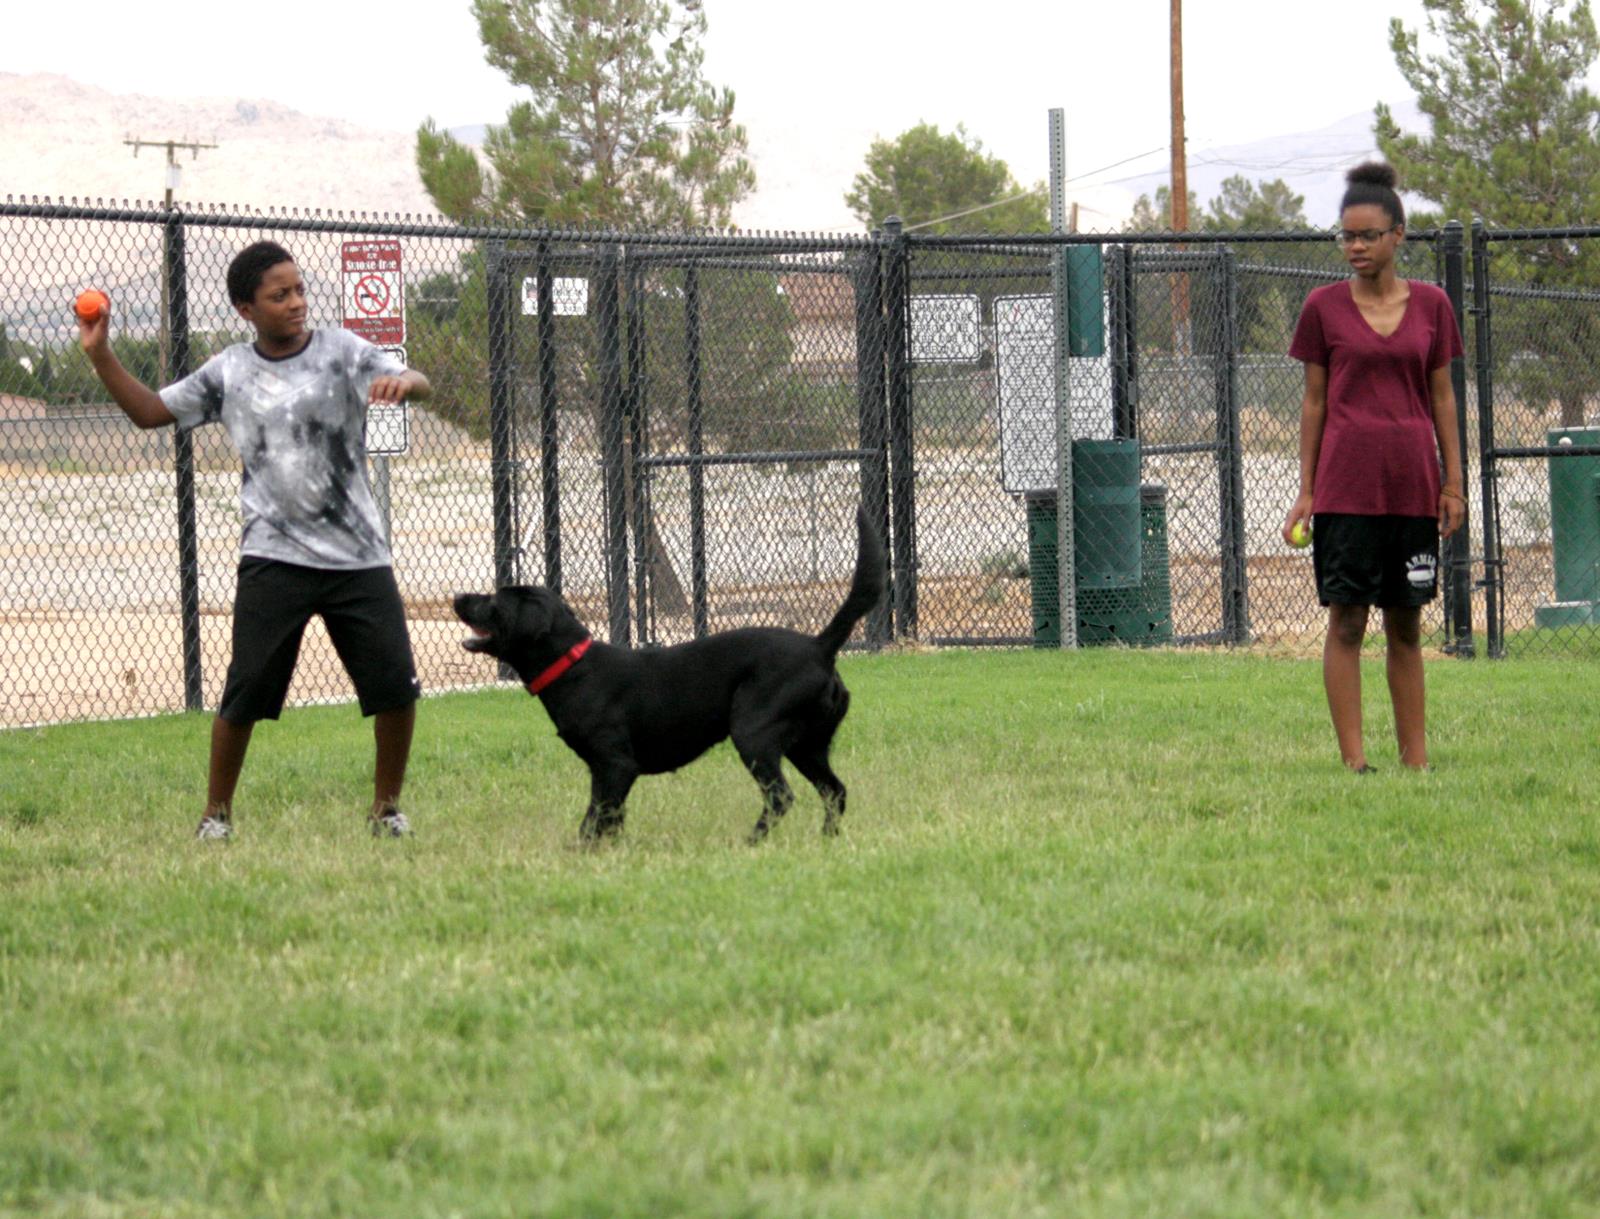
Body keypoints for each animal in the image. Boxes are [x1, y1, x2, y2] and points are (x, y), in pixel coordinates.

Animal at [457, 508, 889, 838]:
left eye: (493, 600)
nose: (458, 596)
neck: (573, 665)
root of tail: (819, 646)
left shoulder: (615, 765)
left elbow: (594, 820)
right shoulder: (605, 772)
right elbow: (610, 820)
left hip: (754, 733)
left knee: (781, 796)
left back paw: (752, 841)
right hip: (808, 745)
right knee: (835, 791)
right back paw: (827, 839)